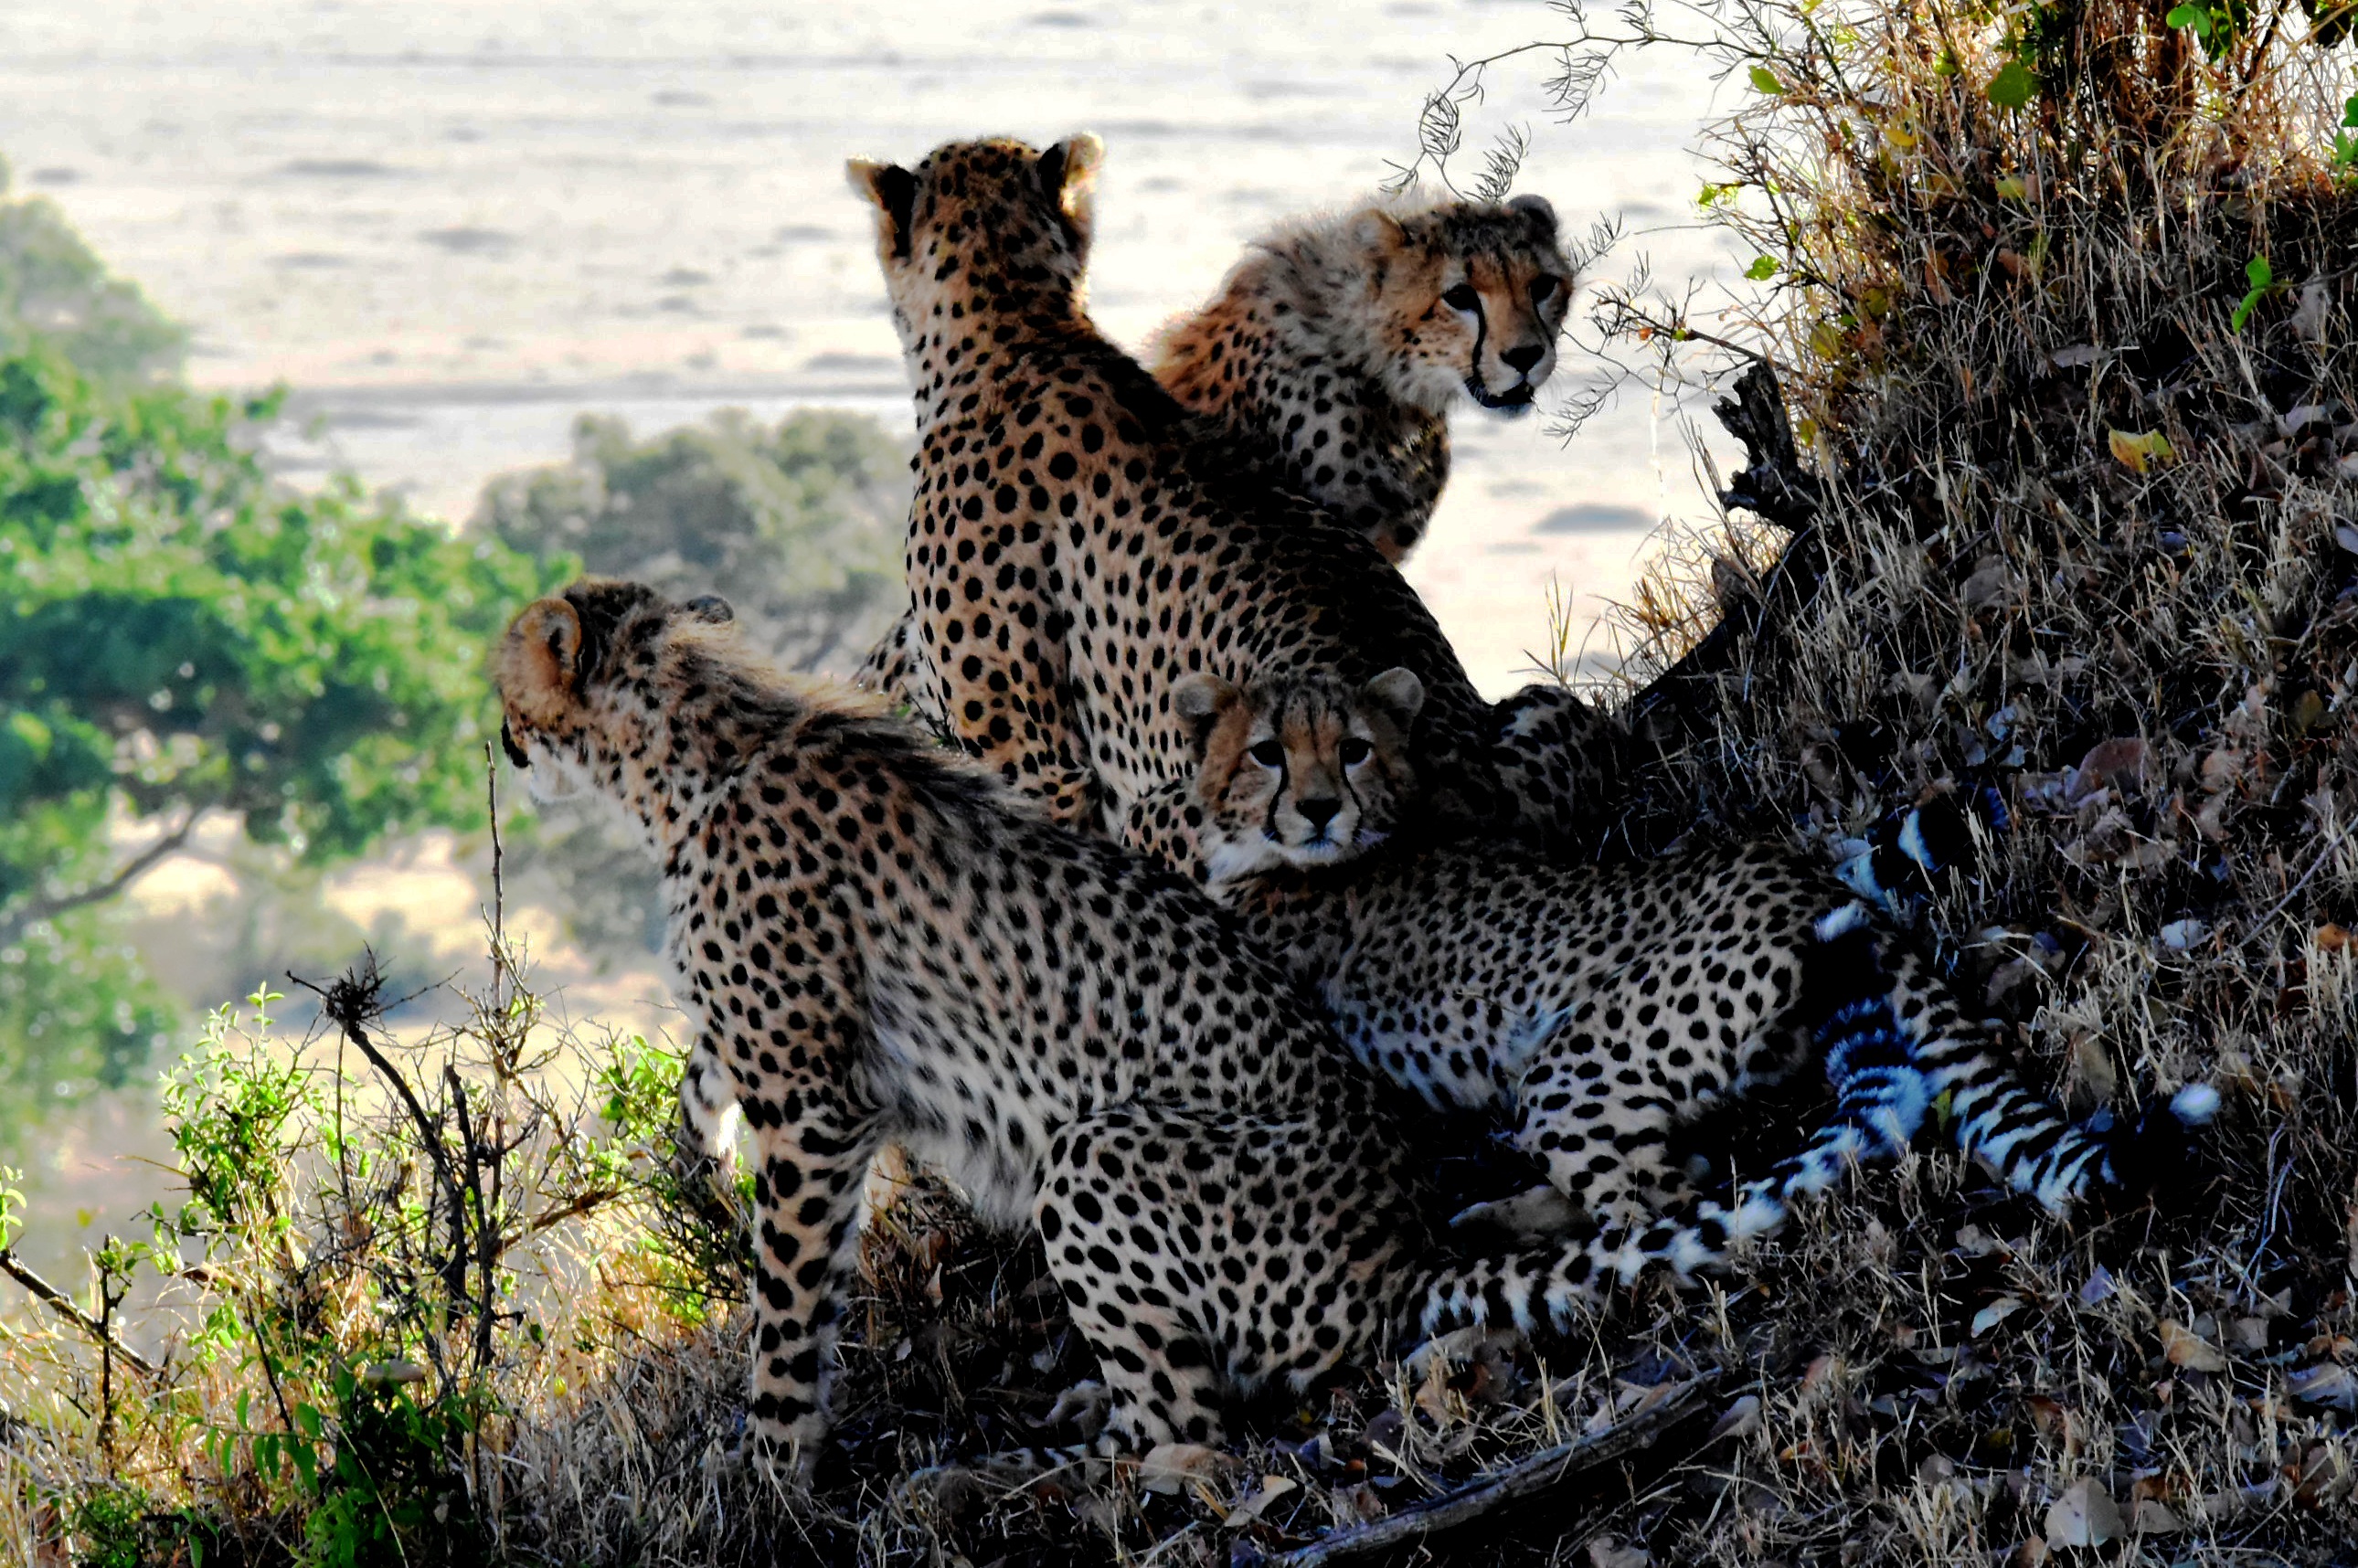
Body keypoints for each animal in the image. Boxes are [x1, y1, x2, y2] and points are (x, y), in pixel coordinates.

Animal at [1151, 664, 2216, 1264]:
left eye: (1355, 750)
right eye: (1267, 752)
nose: (1319, 807)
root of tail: (1796, 879)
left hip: (1575, 1064)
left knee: (1665, 1197)